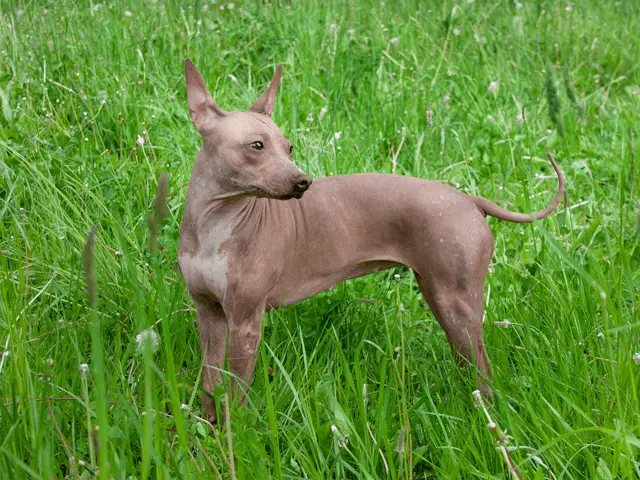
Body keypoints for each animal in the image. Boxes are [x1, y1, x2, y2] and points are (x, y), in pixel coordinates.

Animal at [178, 59, 564, 420]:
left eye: (288, 147)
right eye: (257, 146)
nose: (303, 181)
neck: (216, 223)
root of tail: (469, 200)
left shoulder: (246, 322)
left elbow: (237, 392)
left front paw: (237, 431)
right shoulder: (209, 313)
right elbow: (210, 380)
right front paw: (209, 427)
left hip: (457, 305)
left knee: (482, 371)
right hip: (440, 298)